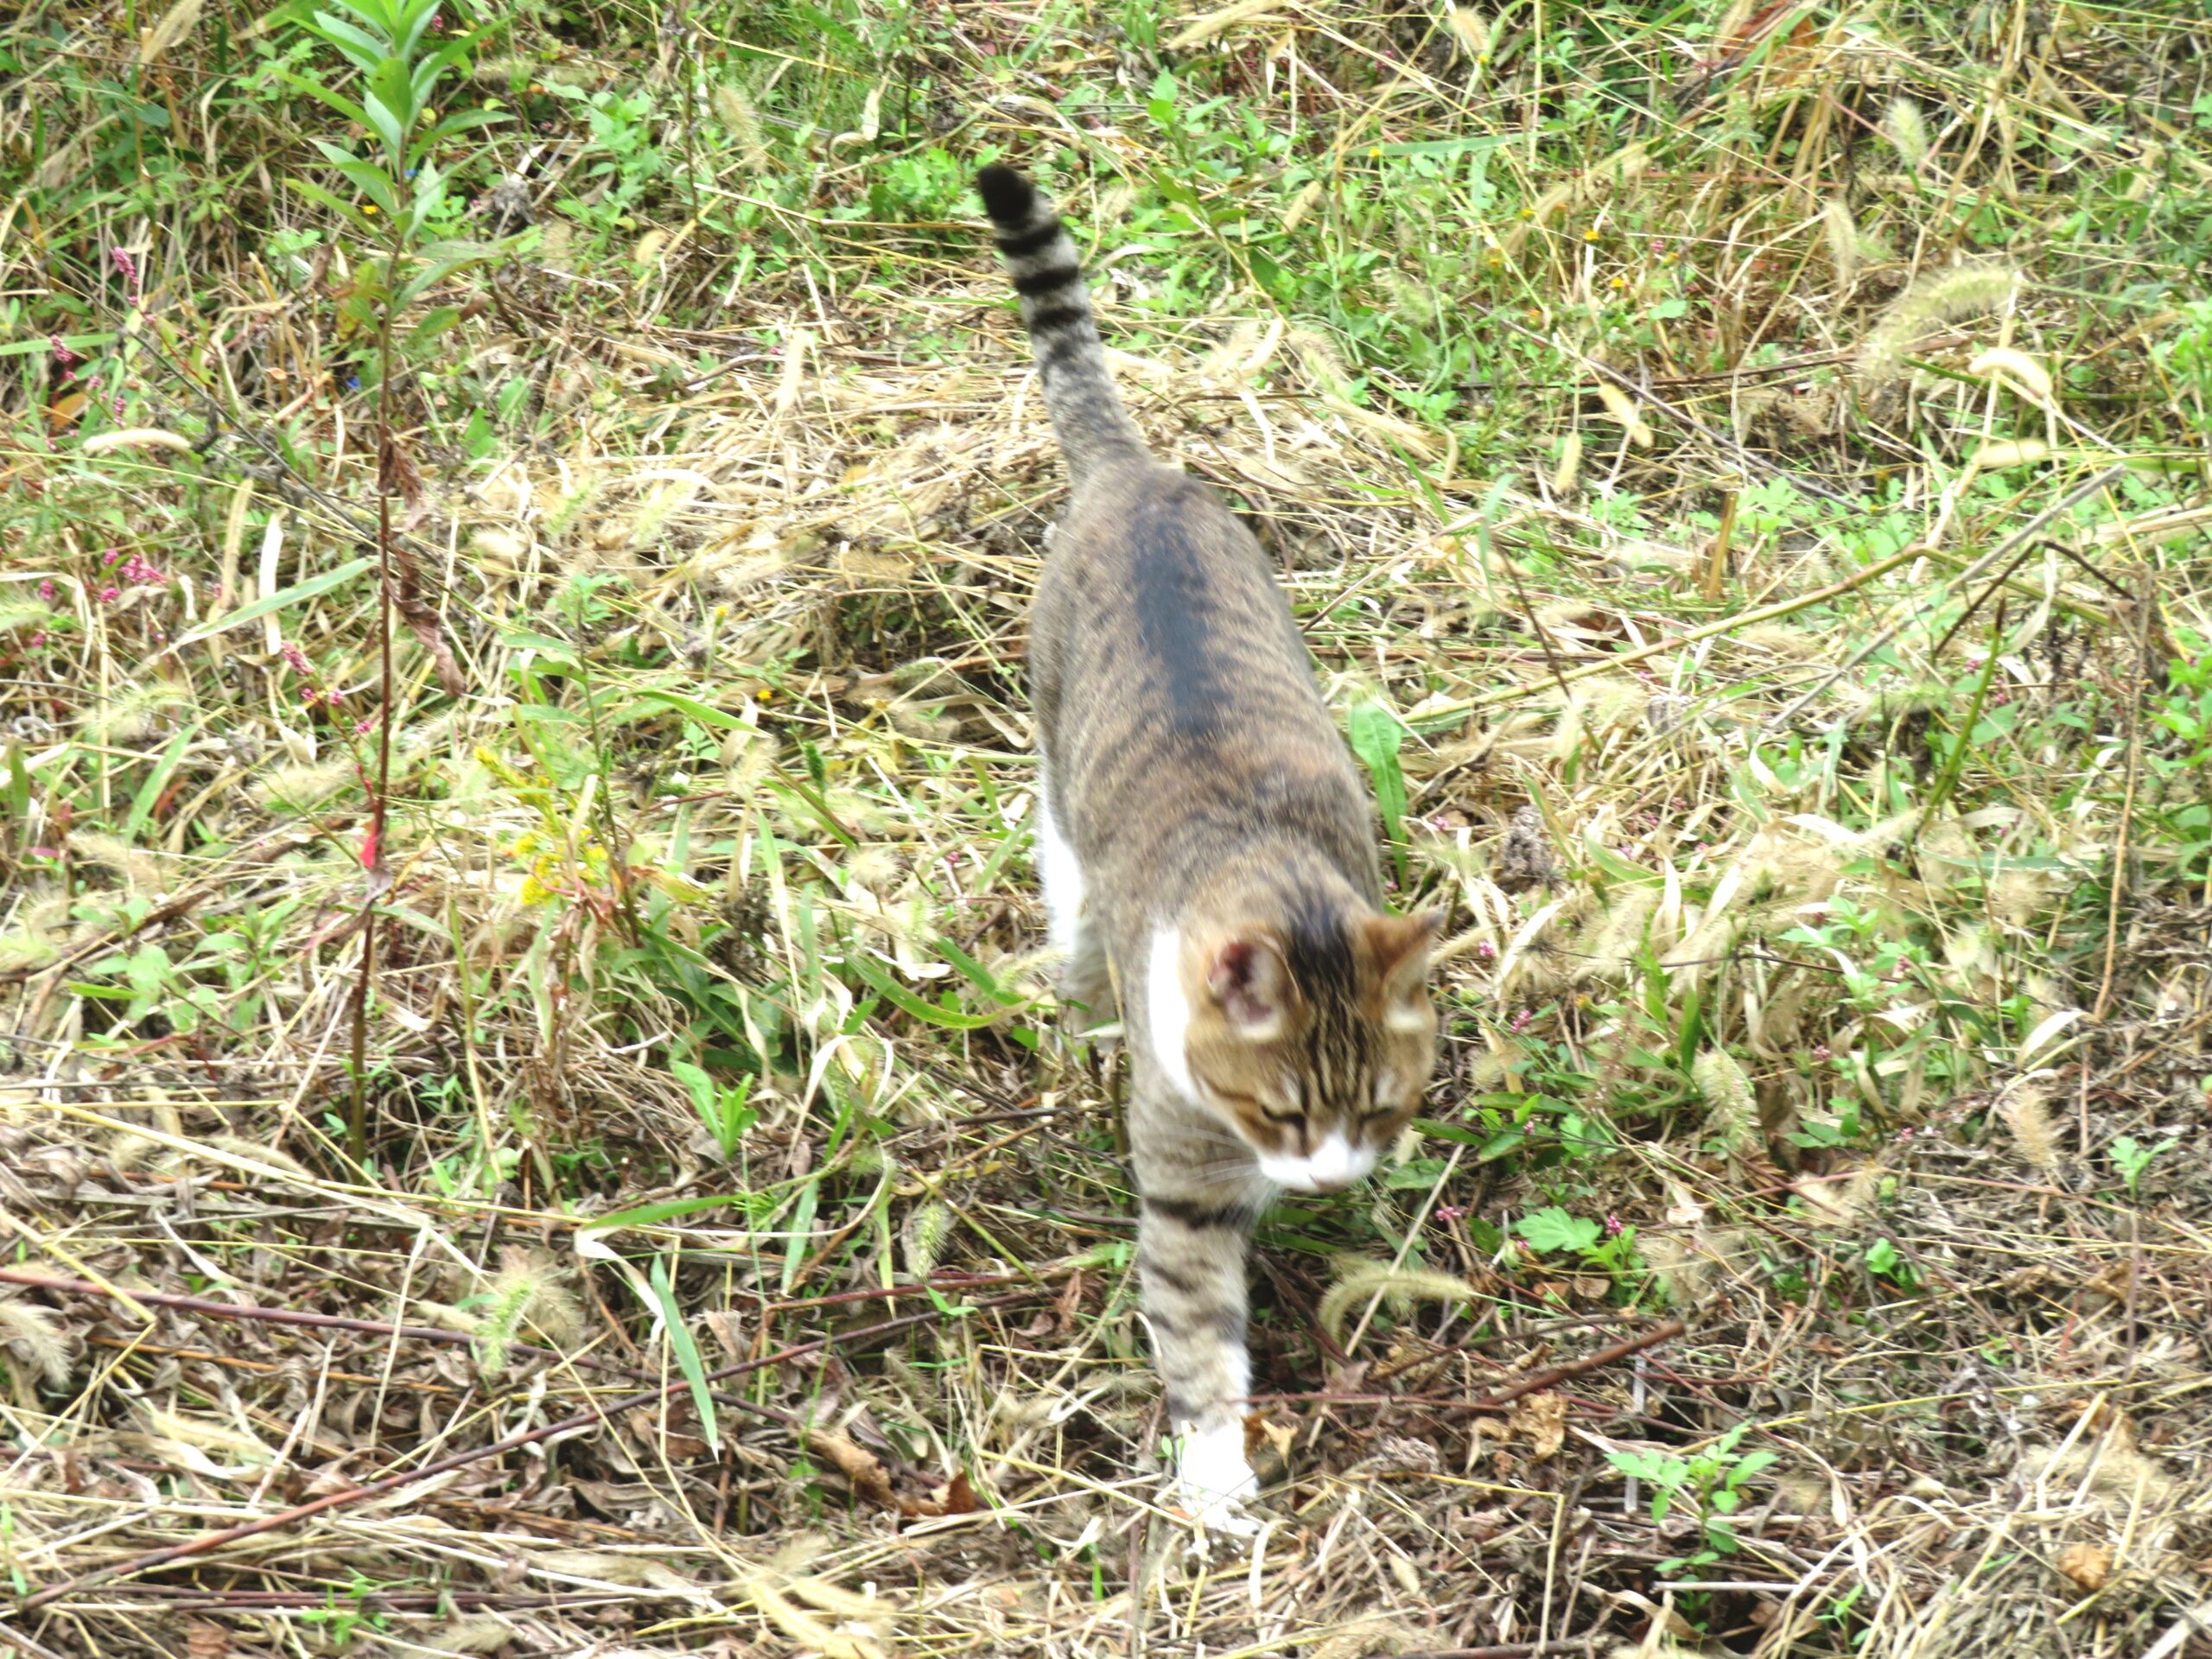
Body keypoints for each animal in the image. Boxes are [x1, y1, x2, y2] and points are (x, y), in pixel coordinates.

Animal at [977, 168, 1442, 1530]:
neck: (1279, 881)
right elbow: (1194, 1331)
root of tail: (1132, 476)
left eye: (1379, 1105)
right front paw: (1215, 1473)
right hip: (1059, 816)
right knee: (1070, 921)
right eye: (1282, 1109)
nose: (1331, 1182)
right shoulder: (1182, 1185)